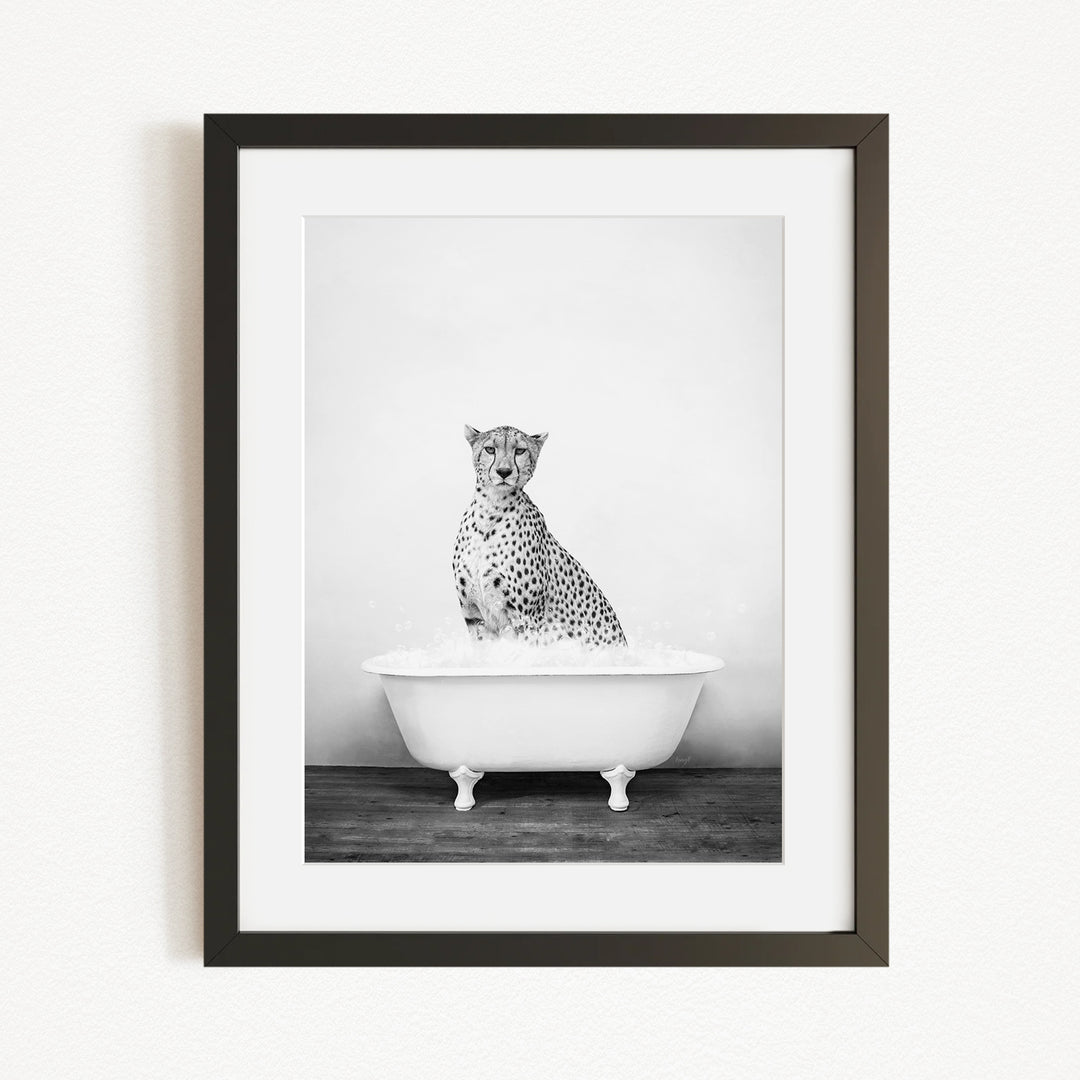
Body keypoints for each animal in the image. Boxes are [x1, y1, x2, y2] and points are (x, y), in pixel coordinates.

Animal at [452, 424, 626, 648]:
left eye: (520, 451)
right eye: (490, 449)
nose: (504, 471)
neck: (491, 508)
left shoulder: (527, 618)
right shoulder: (474, 615)